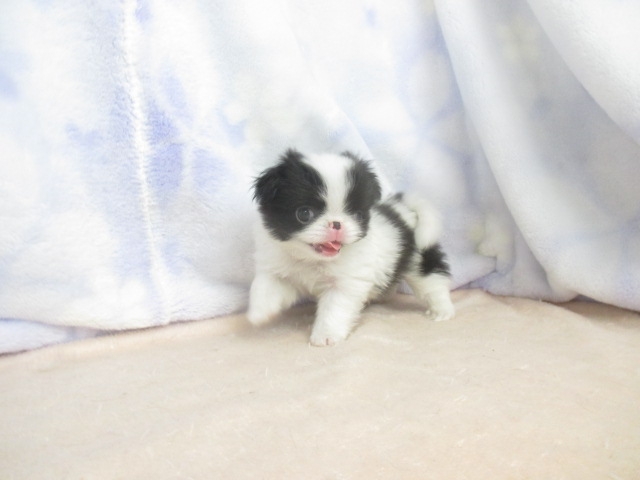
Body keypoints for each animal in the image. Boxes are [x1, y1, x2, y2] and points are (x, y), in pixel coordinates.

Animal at [248, 149, 454, 346]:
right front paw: (258, 312)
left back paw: (442, 311)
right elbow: (265, 287)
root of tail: (401, 210)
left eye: (357, 215)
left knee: (433, 284)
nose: (337, 224)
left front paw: (326, 336)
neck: (312, 260)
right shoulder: (280, 270)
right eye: (304, 214)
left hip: (419, 260)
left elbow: (333, 310)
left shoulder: (345, 285)